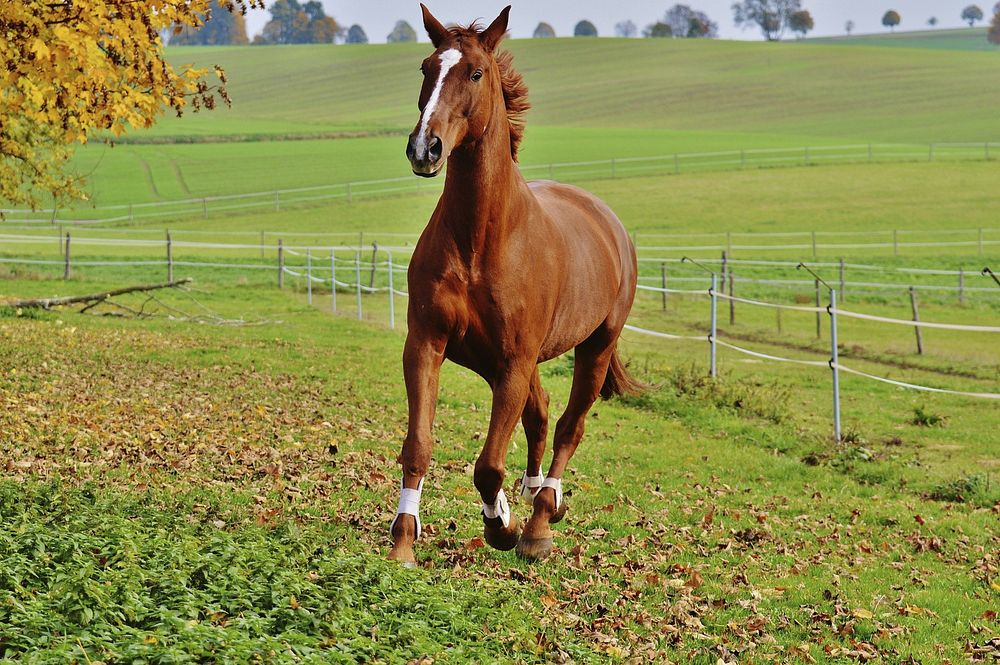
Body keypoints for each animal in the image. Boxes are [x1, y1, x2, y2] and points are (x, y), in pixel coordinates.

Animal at [386, 3, 636, 564]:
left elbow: (487, 465)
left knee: (568, 426)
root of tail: (610, 224)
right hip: (503, 362)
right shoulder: (428, 345)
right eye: (426, 68)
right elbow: (419, 446)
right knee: (540, 417)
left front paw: (501, 526)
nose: (424, 148)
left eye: (476, 73)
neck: (481, 240)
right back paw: (533, 497)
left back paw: (541, 520)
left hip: (594, 349)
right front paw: (404, 542)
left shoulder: (514, 361)